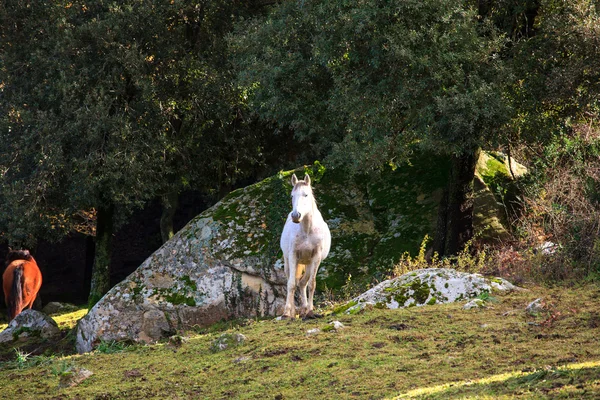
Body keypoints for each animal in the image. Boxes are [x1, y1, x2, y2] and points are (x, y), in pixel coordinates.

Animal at [282, 173, 332, 318]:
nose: (295, 215)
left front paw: (310, 311)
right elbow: (291, 284)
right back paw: (293, 311)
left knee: (303, 282)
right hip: (288, 261)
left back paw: (304, 309)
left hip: (309, 263)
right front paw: (287, 312)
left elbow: (311, 284)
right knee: (293, 281)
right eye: (292, 196)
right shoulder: (293, 256)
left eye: (306, 194)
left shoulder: (316, 256)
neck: (307, 230)